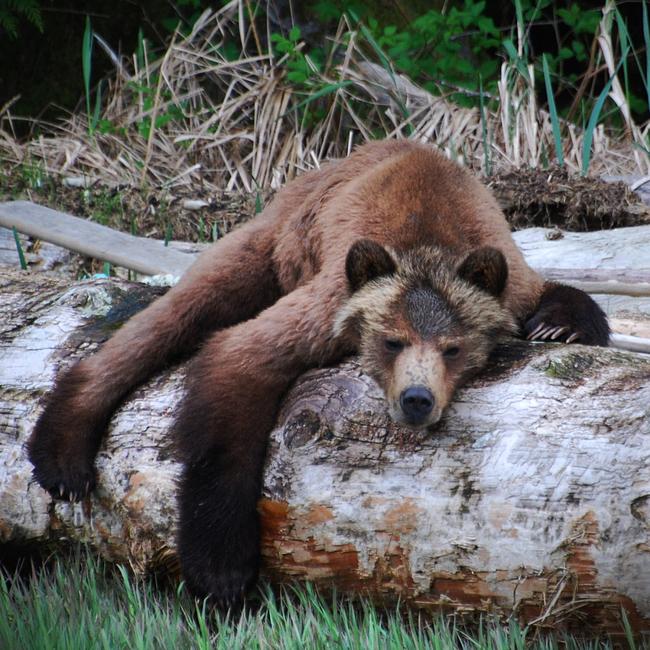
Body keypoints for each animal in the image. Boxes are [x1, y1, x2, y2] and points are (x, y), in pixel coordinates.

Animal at [26, 138, 608, 608]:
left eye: (453, 348)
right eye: (390, 340)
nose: (416, 399)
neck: (432, 241)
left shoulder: (506, 275)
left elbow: (558, 298)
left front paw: (560, 326)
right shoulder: (331, 303)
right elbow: (241, 360)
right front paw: (222, 570)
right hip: (276, 240)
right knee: (180, 311)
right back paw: (62, 457)